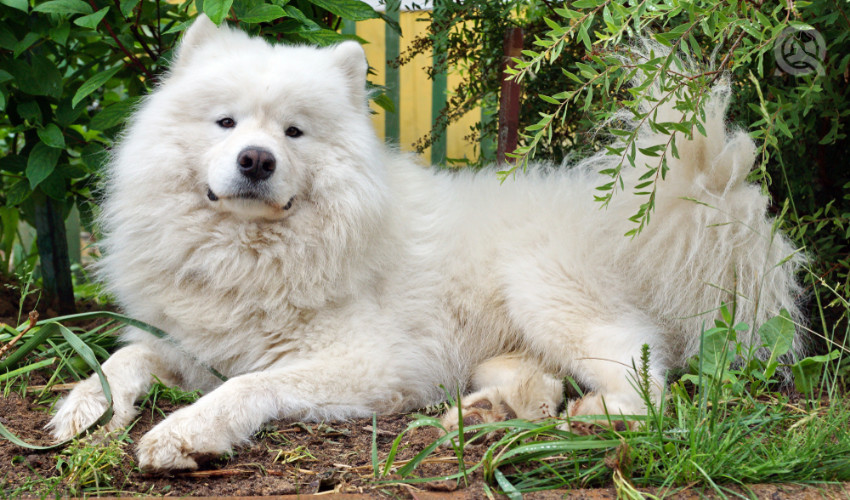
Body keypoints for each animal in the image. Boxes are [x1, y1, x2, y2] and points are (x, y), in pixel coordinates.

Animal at [49, 13, 800, 470]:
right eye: (226, 123)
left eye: (294, 132)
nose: (256, 160)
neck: (252, 252)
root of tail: (642, 217)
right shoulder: (197, 343)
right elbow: (127, 357)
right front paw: (82, 409)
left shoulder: (372, 363)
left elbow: (248, 387)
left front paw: (185, 432)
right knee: (541, 382)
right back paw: (481, 414)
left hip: (545, 293)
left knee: (644, 380)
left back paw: (586, 419)